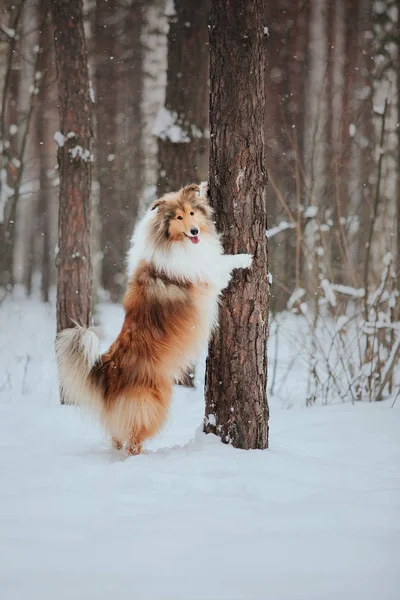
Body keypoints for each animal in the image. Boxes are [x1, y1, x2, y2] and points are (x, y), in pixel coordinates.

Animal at [55, 183, 252, 454]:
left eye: (192, 213)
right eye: (178, 218)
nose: (194, 231)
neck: (174, 243)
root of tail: (107, 370)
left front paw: (201, 187)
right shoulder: (206, 277)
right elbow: (221, 263)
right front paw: (246, 257)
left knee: (117, 437)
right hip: (152, 405)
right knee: (133, 439)